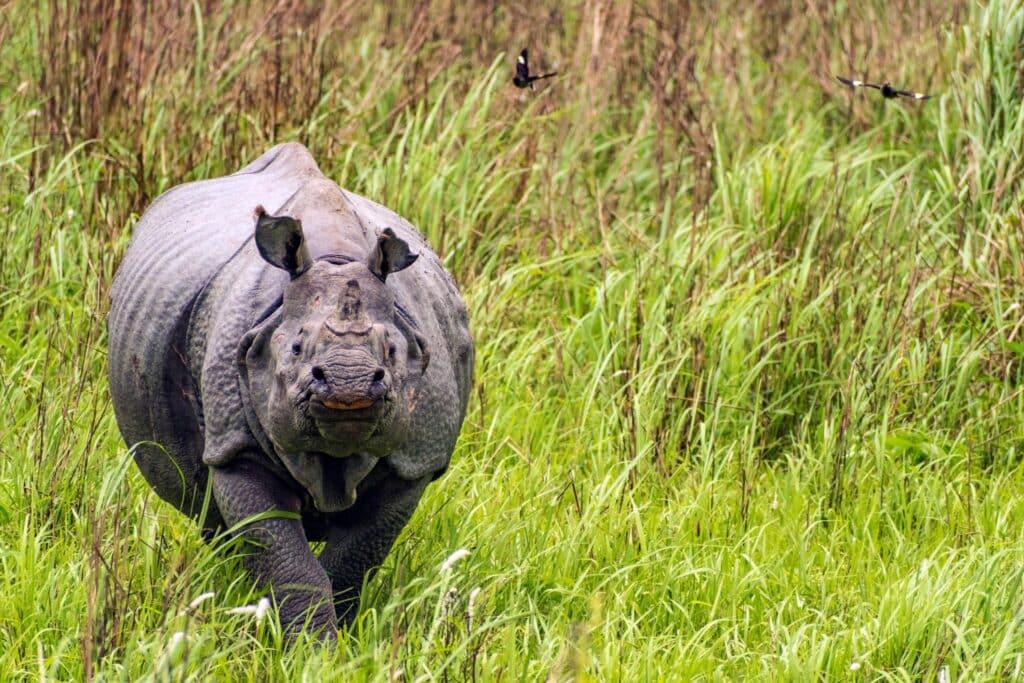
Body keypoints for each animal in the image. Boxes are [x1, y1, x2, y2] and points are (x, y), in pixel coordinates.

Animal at [107, 143, 473, 637]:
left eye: (392, 351)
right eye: (296, 347)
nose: (349, 382)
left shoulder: (413, 459)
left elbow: (352, 560)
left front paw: (335, 638)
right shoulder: (236, 446)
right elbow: (285, 560)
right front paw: (309, 642)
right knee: (210, 513)